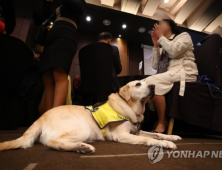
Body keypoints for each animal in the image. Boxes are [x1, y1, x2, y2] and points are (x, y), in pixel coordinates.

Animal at [0, 80, 180, 153]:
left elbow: (155, 133)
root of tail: (40, 118)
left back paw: (81, 147)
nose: (153, 86)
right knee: (52, 143)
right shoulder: (122, 135)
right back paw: (82, 147)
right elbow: (147, 139)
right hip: (82, 128)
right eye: (138, 84)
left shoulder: (135, 130)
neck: (131, 109)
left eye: (147, 82)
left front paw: (172, 137)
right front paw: (165, 144)